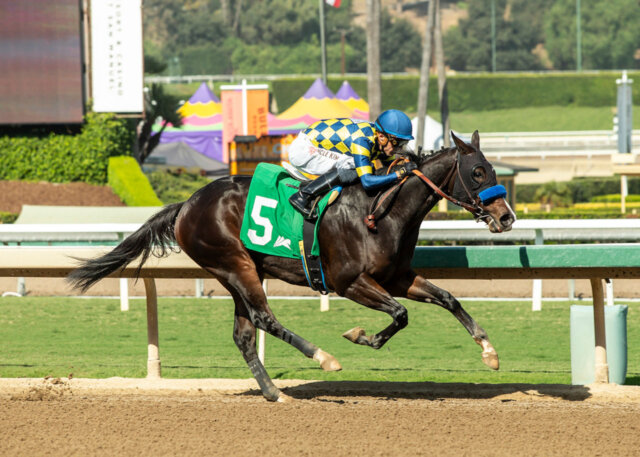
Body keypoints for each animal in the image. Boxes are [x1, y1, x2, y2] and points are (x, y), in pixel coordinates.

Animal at [67, 130, 516, 400]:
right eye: (478, 172)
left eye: (493, 169)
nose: (507, 217)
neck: (381, 210)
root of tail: (186, 204)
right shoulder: (348, 281)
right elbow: (400, 314)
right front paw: (359, 335)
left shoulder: (397, 276)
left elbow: (448, 299)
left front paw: (490, 352)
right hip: (234, 264)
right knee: (265, 319)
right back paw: (323, 357)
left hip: (236, 272)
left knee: (244, 333)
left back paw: (274, 392)